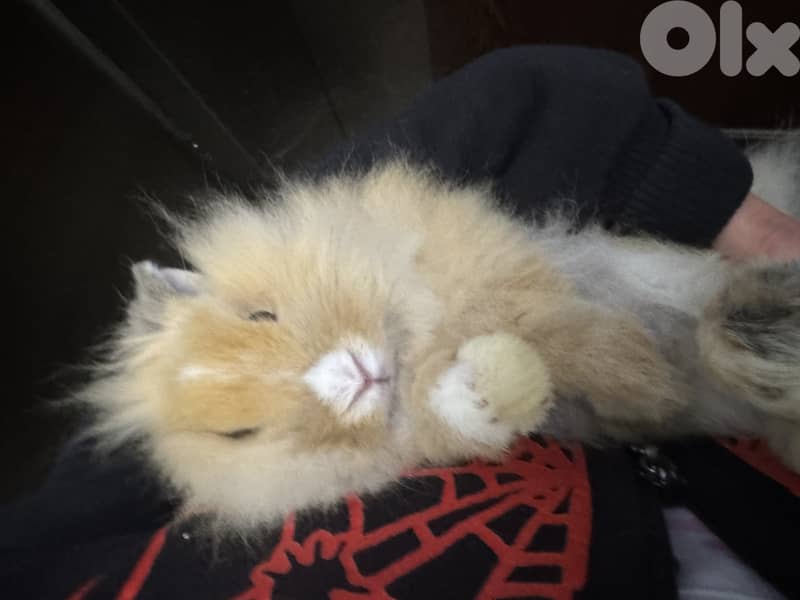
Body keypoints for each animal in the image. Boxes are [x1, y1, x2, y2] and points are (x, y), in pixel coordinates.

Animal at [79, 147, 800, 533]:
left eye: (260, 315)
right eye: (241, 438)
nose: (353, 377)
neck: (410, 339)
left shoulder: (494, 268)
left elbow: (551, 321)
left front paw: (642, 375)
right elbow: (470, 410)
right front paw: (485, 386)